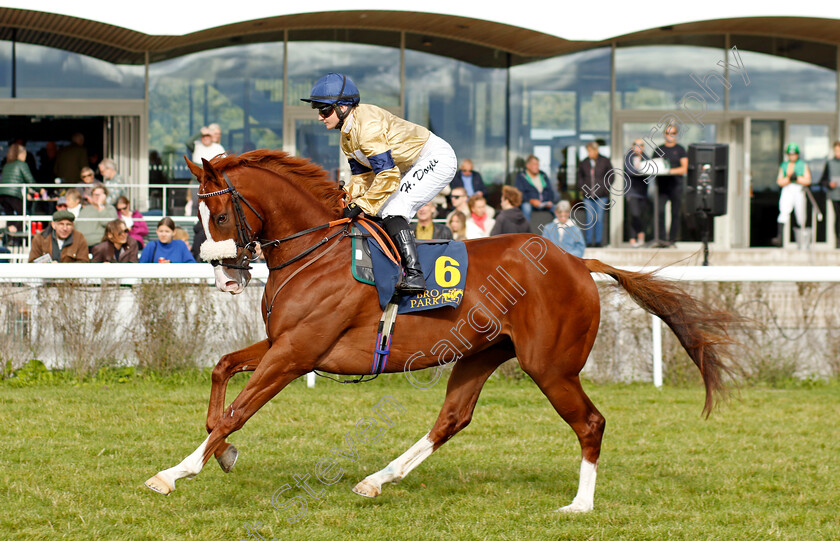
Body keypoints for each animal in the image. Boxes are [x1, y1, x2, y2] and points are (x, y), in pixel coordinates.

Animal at [146, 150, 736, 512]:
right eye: (198, 215)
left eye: (221, 215)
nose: (224, 275)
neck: (316, 252)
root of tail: (576, 261)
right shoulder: (283, 344)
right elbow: (222, 370)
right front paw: (221, 453)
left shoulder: (296, 352)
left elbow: (238, 410)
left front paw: (176, 472)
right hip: (482, 353)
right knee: (452, 418)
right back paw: (376, 479)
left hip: (549, 364)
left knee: (590, 423)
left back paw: (580, 504)